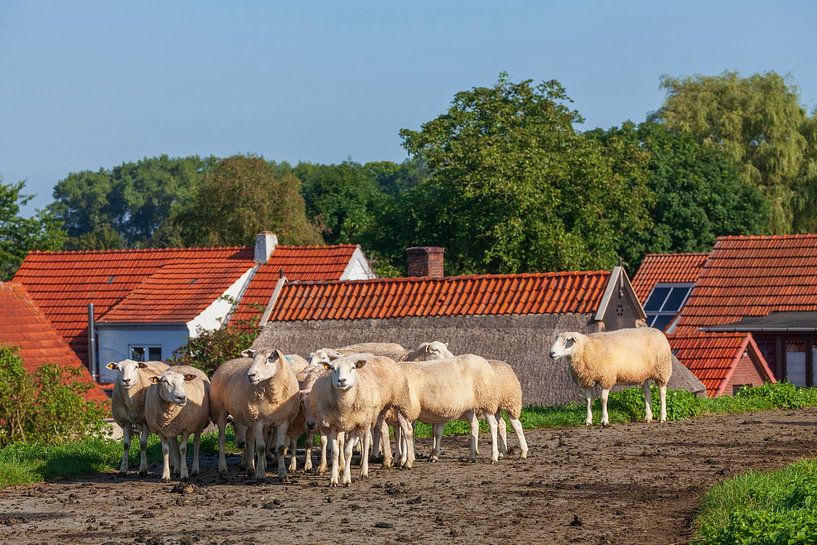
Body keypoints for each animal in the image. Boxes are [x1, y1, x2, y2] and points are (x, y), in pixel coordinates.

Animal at [210, 348, 300, 482]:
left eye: (270, 358)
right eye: (253, 358)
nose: (250, 375)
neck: (273, 395)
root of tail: (231, 361)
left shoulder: (283, 420)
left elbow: (280, 447)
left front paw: (283, 475)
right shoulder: (258, 421)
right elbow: (261, 447)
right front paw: (260, 475)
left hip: (248, 417)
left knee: (249, 441)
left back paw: (250, 469)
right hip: (220, 410)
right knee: (222, 439)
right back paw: (223, 469)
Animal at [306, 353, 416, 486]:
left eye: (352, 368)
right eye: (333, 369)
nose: (341, 381)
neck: (344, 404)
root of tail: (386, 358)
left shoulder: (357, 425)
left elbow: (348, 452)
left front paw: (346, 479)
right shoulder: (332, 424)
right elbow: (335, 452)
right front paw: (334, 479)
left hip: (400, 402)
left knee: (407, 431)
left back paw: (407, 463)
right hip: (378, 412)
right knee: (379, 432)